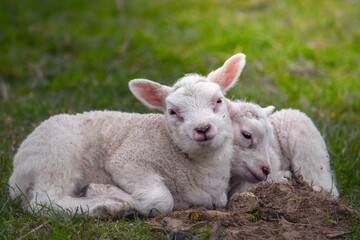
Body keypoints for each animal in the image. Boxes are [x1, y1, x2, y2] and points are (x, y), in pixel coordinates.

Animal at [7, 53, 248, 218]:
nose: (203, 128)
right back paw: (106, 207)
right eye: (172, 111)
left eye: (218, 100)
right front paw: (107, 194)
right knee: (44, 201)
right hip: (56, 155)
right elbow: (160, 199)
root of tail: (17, 168)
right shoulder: (128, 161)